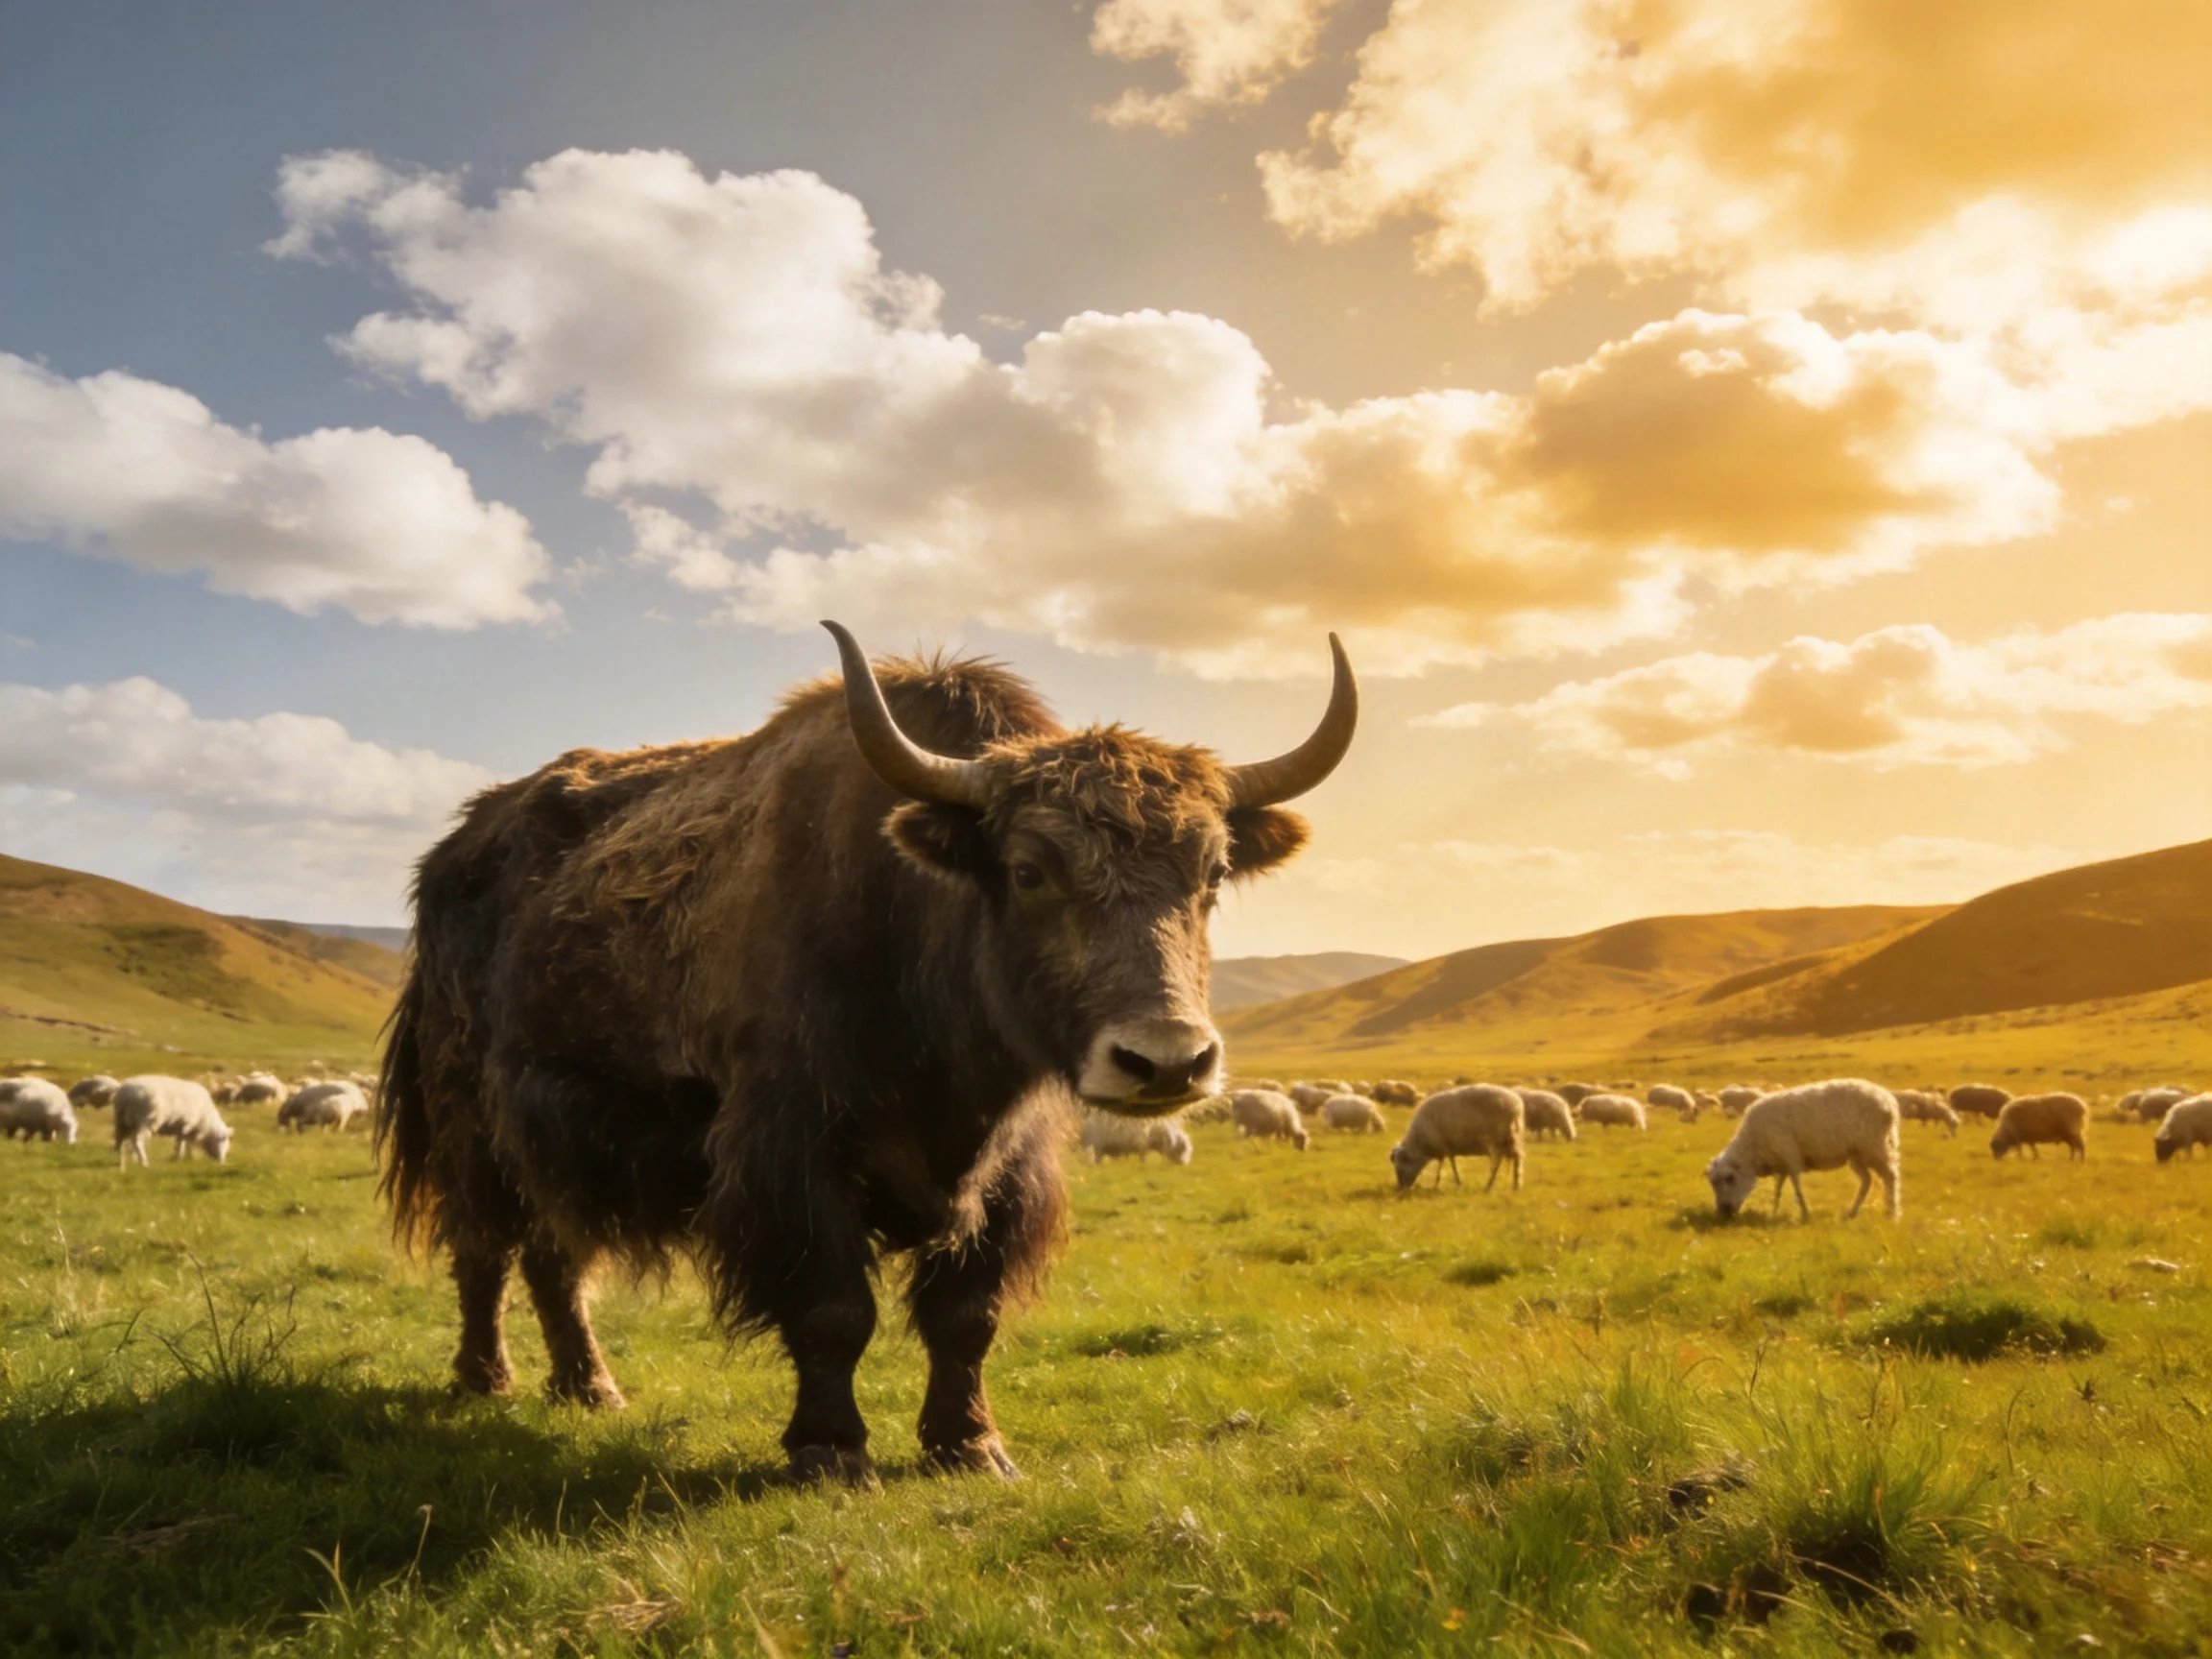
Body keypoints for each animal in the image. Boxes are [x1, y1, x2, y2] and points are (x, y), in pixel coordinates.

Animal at [1390, 1085, 1524, 1192]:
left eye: (1401, 1168)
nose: (1401, 1189)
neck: (1421, 1143)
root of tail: (1516, 1105)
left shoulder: (1444, 1145)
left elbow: (1451, 1164)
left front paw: (1456, 1182)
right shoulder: (1442, 1148)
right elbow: (1442, 1164)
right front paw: (1437, 1183)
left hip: (1496, 1139)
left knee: (1497, 1163)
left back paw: (1489, 1186)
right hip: (1510, 1139)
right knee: (1517, 1158)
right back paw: (1515, 1185)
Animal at [1705, 1079, 1901, 1221]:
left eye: (1730, 1178)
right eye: (1713, 1183)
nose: (1724, 1212)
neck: (1753, 1146)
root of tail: (1888, 1101)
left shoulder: (1790, 1156)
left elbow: (1797, 1188)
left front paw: (1805, 1215)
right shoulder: (1781, 1163)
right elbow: (1778, 1189)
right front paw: (1773, 1212)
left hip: (1875, 1147)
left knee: (1890, 1178)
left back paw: (1892, 1213)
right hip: (1857, 1154)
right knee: (1867, 1181)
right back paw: (1852, 1213)